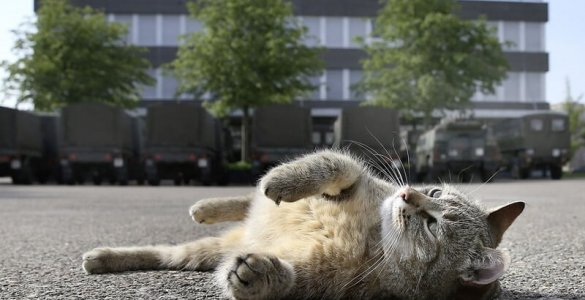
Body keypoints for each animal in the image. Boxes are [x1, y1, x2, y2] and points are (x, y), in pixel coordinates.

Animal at [80, 150, 524, 300]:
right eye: (433, 190)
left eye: (432, 226)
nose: (407, 194)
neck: (374, 236)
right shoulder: (358, 176)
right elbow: (330, 163)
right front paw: (282, 180)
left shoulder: (323, 280)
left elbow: (291, 280)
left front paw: (258, 275)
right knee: (246, 201)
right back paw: (207, 205)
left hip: (201, 252)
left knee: (167, 254)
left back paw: (102, 258)